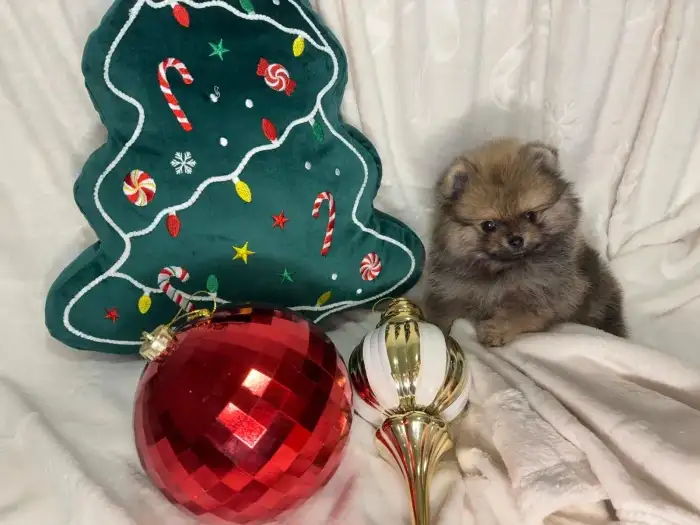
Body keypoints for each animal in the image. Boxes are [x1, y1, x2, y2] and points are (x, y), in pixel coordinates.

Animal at [424, 138, 626, 346]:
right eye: (489, 225)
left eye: (530, 215)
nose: (516, 239)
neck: (503, 269)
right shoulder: (452, 293)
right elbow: (443, 315)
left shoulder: (543, 294)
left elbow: (518, 313)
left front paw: (495, 330)